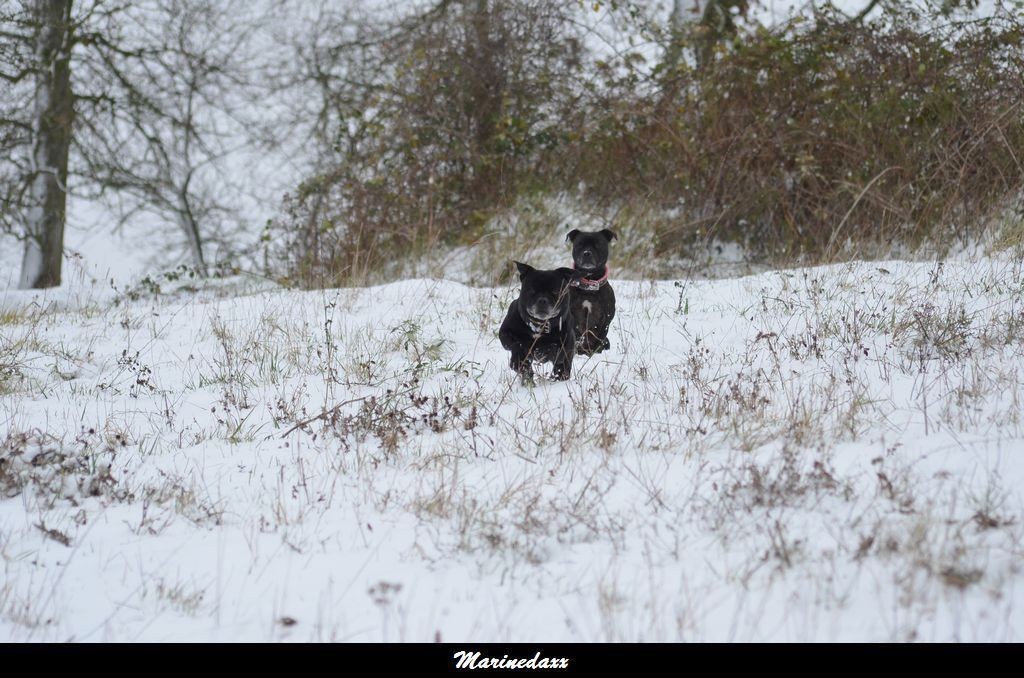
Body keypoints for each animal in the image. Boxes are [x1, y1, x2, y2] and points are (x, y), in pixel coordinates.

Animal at [569, 228, 614, 356]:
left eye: (598, 244)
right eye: (579, 244)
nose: (587, 253)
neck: (589, 287)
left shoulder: (605, 320)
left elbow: (598, 337)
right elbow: (577, 333)